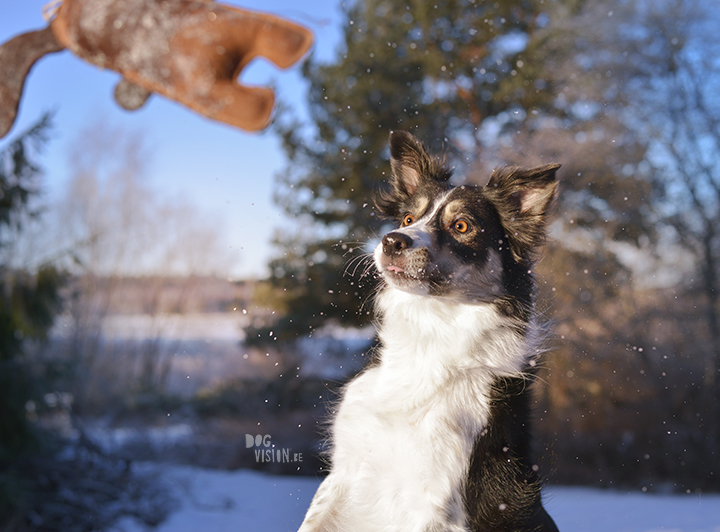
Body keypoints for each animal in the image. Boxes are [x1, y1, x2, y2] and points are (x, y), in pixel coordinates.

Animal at [298, 131, 564, 532]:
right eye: (408, 218)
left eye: (462, 226)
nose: (392, 240)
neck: (428, 335)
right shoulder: (345, 470)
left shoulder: (436, 503)